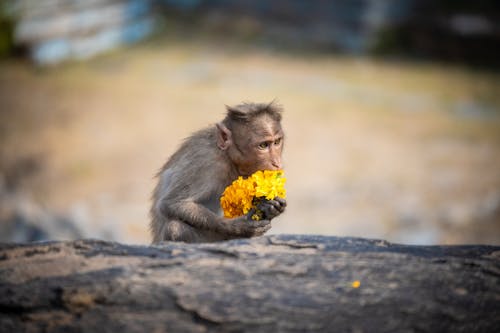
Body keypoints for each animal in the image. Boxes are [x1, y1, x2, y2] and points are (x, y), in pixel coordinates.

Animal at [149, 100, 286, 243]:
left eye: (277, 142)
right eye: (263, 145)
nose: (277, 163)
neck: (227, 156)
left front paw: (269, 206)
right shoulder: (206, 162)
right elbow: (172, 203)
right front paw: (239, 226)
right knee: (174, 228)